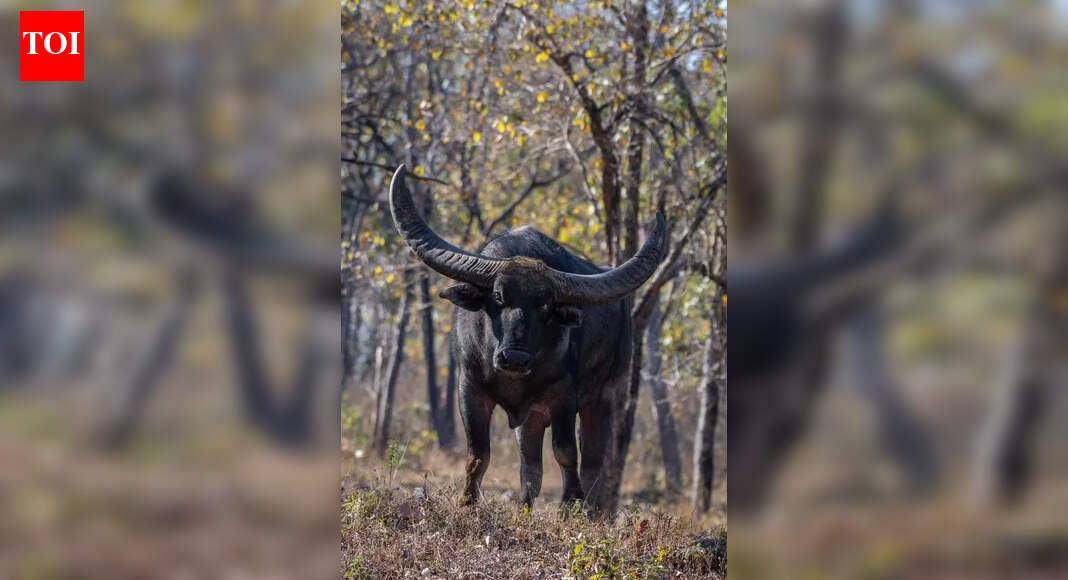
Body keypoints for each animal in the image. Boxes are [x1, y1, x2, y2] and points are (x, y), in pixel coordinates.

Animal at [388, 165, 666, 508]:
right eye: (497, 295)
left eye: (545, 305)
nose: (515, 358)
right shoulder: (469, 389)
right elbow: (478, 454)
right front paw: (467, 501)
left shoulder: (564, 396)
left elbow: (566, 452)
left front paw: (570, 504)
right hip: (532, 418)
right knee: (531, 465)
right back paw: (524, 507)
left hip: (603, 399)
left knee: (593, 463)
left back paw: (591, 509)